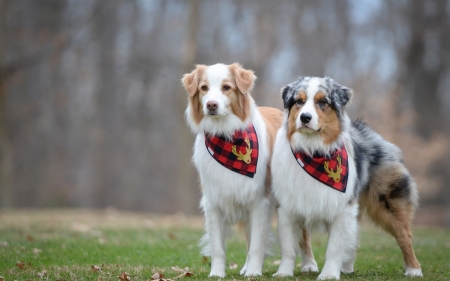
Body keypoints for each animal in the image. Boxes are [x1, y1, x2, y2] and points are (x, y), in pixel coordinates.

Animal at [181, 63, 284, 276]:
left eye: (226, 87)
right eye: (204, 88)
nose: (211, 105)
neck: (225, 133)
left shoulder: (259, 201)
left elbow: (257, 244)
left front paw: (254, 272)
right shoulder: (213, 201)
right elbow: (218, 247)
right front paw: (217, 274)